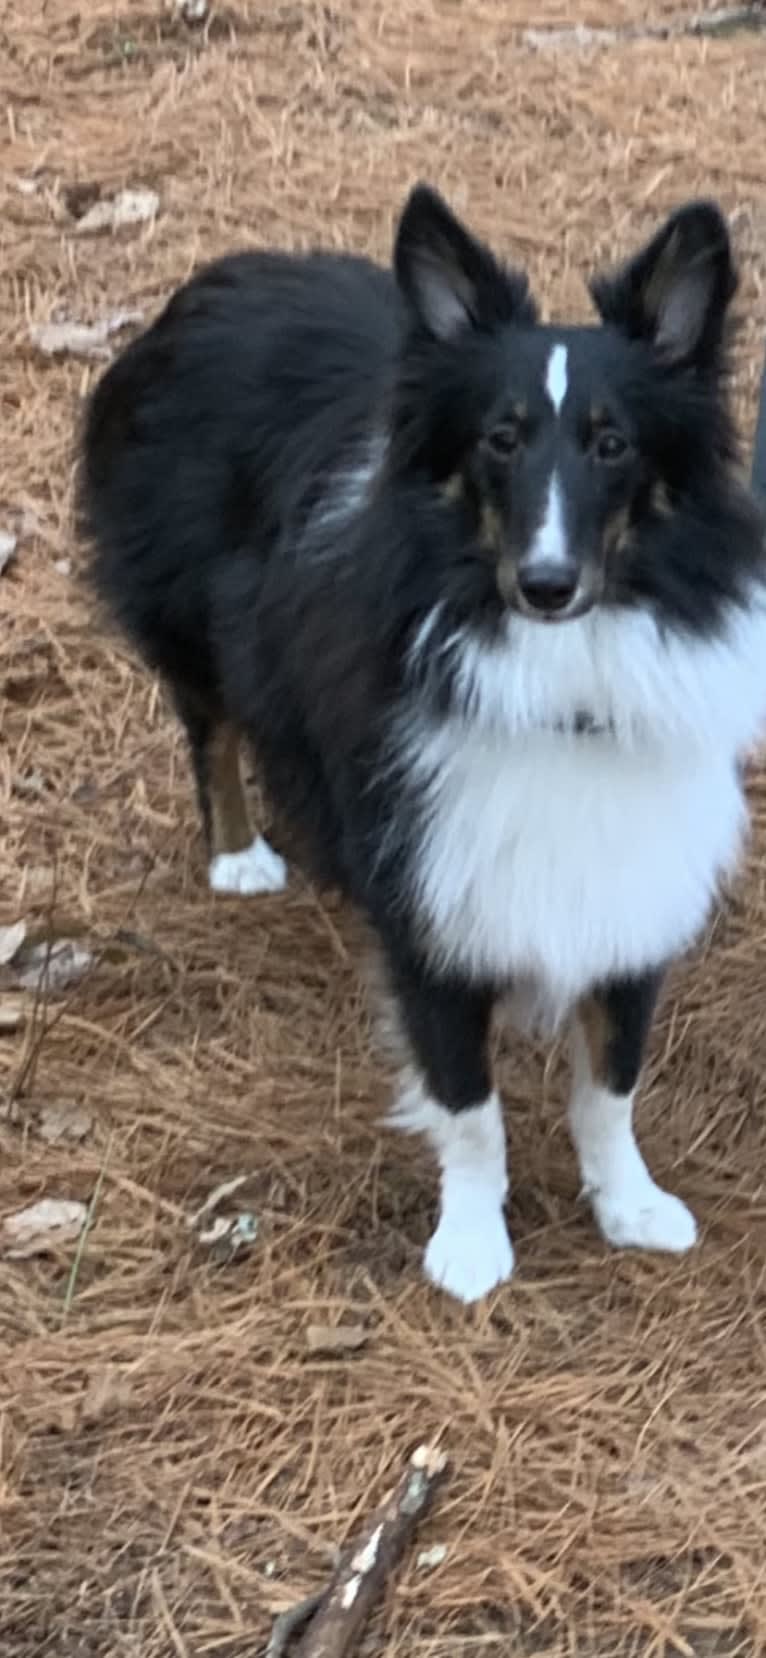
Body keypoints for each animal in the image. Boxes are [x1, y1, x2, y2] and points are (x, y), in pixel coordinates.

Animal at [79, 178, 766, 1293]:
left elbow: (610, 1083)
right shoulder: (428, 896)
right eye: (500, 438)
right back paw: (239, 852)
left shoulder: (631, 876)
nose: (546, 585)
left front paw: (628, 1204)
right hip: (186, 619)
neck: (552, 667)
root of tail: (227, 274)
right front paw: (472, 1241)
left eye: (613, 443)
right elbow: (467, 1102)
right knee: (209, 727)